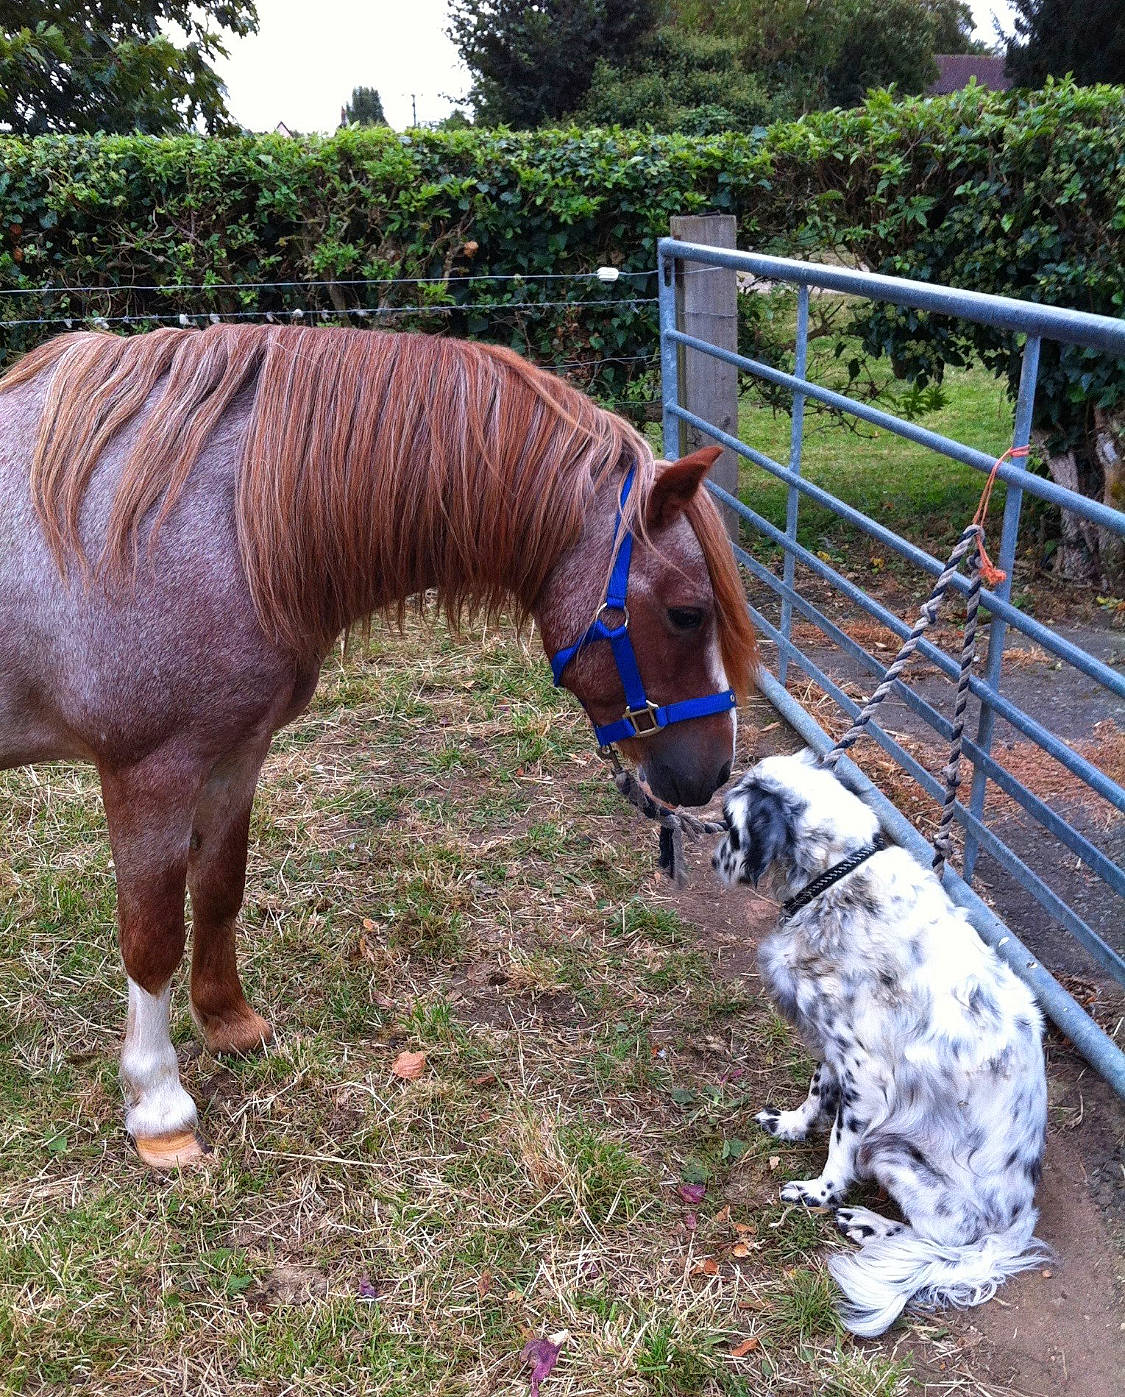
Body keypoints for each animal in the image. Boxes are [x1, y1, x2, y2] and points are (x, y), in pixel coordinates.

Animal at [0, 324, 756, 1170]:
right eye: (688, 613)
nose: (712, 769)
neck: (203, 516)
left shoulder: (235, 753)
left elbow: (220, 887)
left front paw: (228, 1022)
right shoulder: (148, 771)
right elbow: (151, 936)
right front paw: (160, 1106)